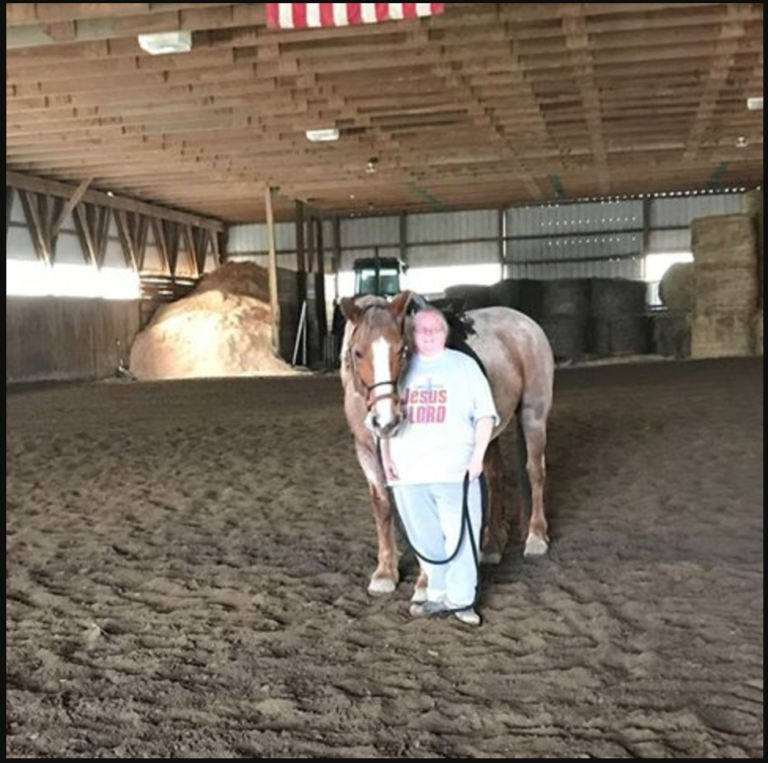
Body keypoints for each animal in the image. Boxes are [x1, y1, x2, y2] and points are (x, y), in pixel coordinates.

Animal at [339, 291, 555, 599]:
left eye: (402, 350)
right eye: (357, 352)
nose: (386, 422)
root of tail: (526, 324)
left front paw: (424, 584)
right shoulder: (366, 451)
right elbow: (382, 506)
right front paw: (384, 574)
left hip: (533, 415)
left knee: (535, 472)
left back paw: (536, 537)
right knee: (496, 477)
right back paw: (491, 547)